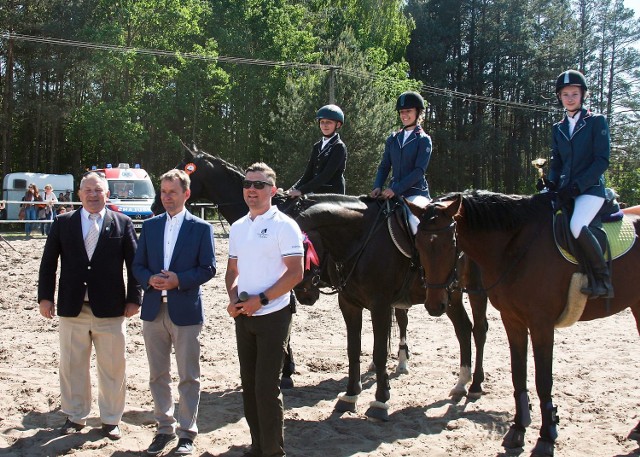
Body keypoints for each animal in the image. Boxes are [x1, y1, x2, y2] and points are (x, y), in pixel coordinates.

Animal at [410, 190, 640, 456]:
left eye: (450, 244)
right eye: (418, 244)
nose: (434, 305)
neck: (515, 246)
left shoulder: (541, 325)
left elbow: (543, 381)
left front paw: (547, 437)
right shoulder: (512, 320)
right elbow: (518, 374)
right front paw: (518, 429)